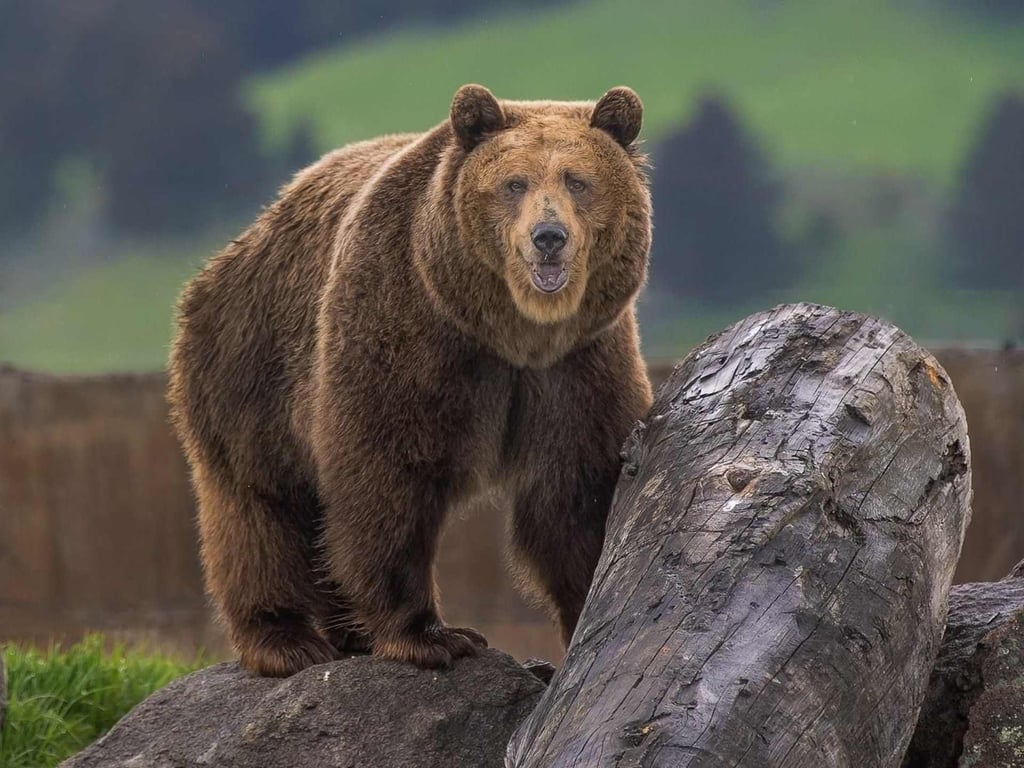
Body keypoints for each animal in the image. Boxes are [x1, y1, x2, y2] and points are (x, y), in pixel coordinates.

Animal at [167, 84, 653, 676]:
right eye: (514, 183)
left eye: (577, 180)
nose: (548, 237)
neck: (510, 334)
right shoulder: (409, 334)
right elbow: (387, 478)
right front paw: (431, 636)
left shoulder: (578, 364)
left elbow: (576, 494)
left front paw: (587, 609)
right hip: (248, 365)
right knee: (258, 507)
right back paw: (285, 639)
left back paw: (344, 631)